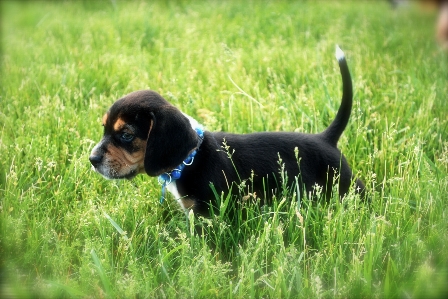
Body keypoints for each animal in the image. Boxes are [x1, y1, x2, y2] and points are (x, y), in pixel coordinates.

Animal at [90, 45, 364, 217]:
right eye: (104, 128)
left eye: (126, 135)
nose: (92, 160)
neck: (190, 159)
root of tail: (325, 138)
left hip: (345, 183)